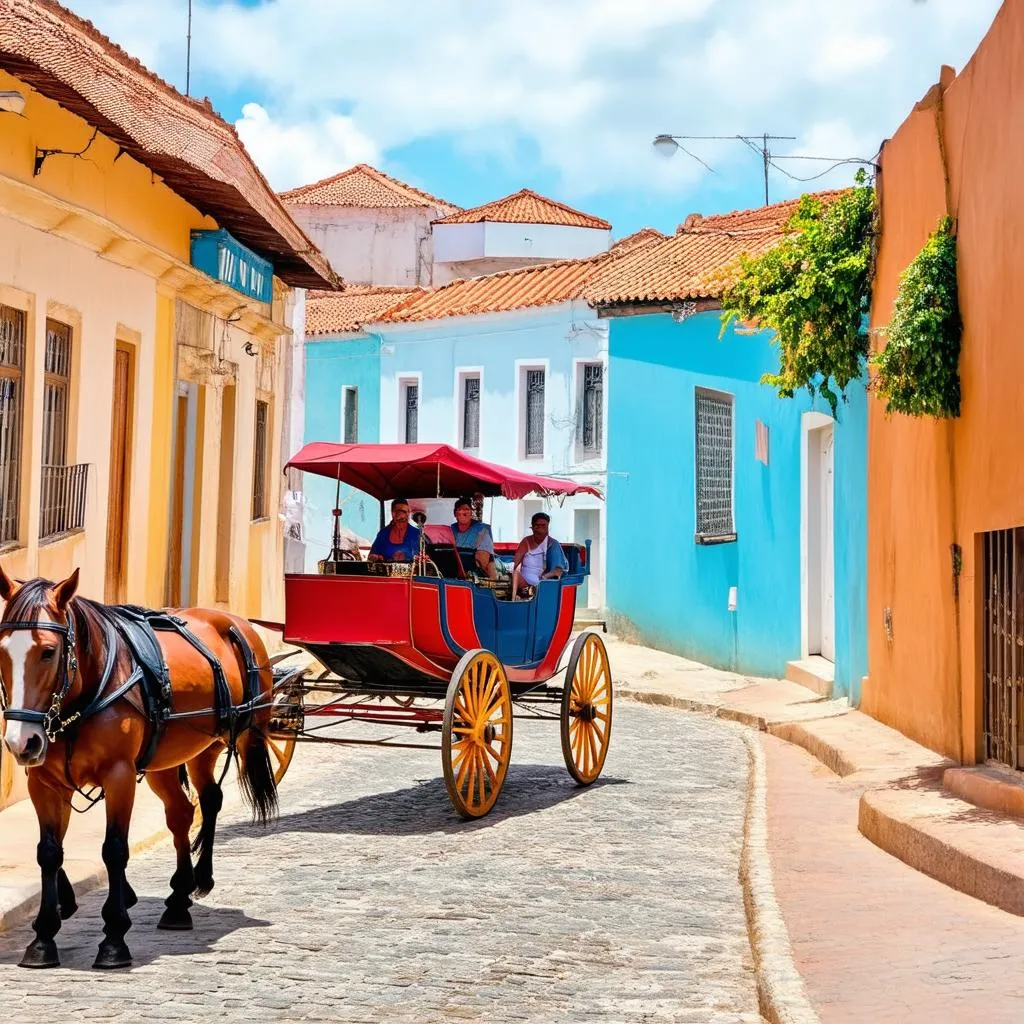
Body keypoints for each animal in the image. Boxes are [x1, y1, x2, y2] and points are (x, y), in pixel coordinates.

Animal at [0, 569, 278, 966]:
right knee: (182, 812)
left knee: (210, 801)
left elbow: (115, 849)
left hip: (224, 741)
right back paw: (178, 899)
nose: (21, 742)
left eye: (48, 652)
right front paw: (43, 938)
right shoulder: (43, 781)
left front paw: (114, 938)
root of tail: (234, 622)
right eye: (2, 652)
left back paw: (200, 879)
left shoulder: (120, 776)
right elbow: (49, 852)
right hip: (167, 759)